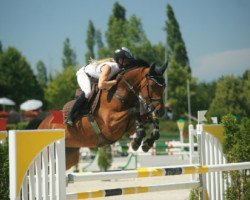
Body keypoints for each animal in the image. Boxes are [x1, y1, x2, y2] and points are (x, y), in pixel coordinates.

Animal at [32, 63, 167, 169]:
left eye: (164, 86)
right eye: (152, 85)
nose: (160, 112)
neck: (119, 94)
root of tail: (42, 124)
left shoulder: (130, 126)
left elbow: (148, 120)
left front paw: (146, 143)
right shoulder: (111, 125)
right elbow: (134, 111)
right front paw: (136, 142)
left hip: (70, 155)